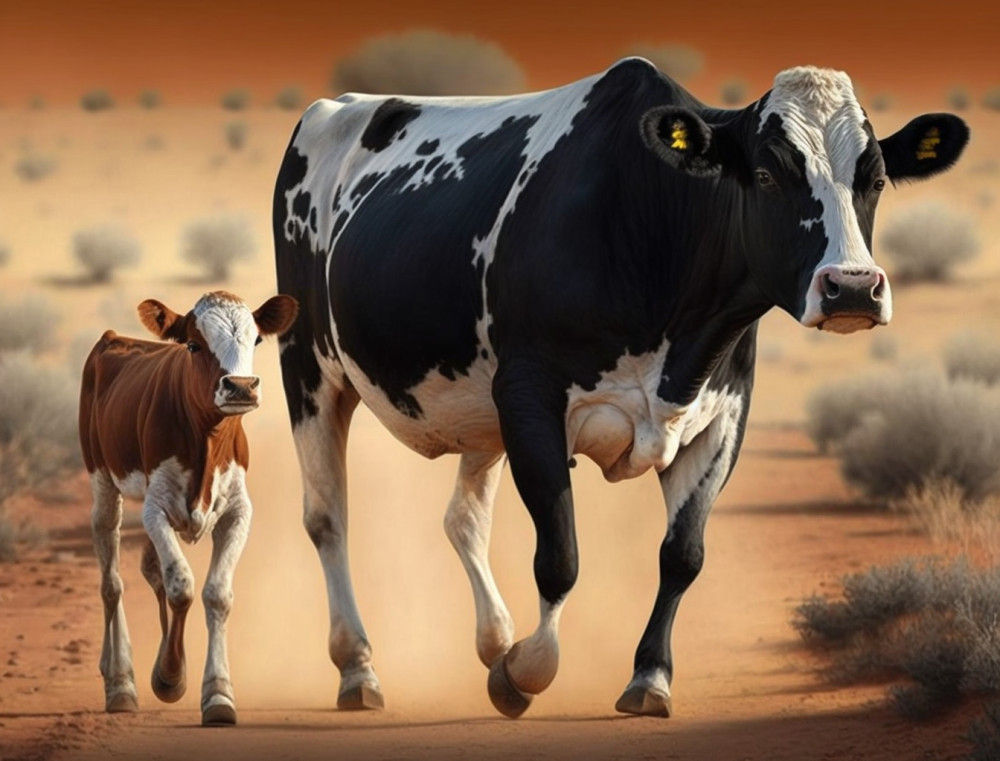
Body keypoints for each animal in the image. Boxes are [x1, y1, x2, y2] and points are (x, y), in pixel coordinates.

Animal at [79, 291, 298, 725]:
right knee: (112, 582)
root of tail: (114, 338)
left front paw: (218, 694)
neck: (207, 440)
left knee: (150, 571)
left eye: (256, 339)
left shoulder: (237, 512)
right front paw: (170, 676)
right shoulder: (156, 509)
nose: (241, 386)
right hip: (103, 484)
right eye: (194, 345)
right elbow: (181, 586)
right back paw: (120, 682)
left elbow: (217, 594)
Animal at [272, 59, 968, 718]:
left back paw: (494, 638)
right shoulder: (531, 399)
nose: (852, 288)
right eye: (770, 174)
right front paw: (527, 671)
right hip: (309, 366)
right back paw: (359, 666)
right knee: (328, 516)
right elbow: (560, 554)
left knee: (463, 519)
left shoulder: (722, 417)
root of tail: (341, 105)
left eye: (874, 179)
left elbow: (683, 555)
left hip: (478, 411)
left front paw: (647, 677)